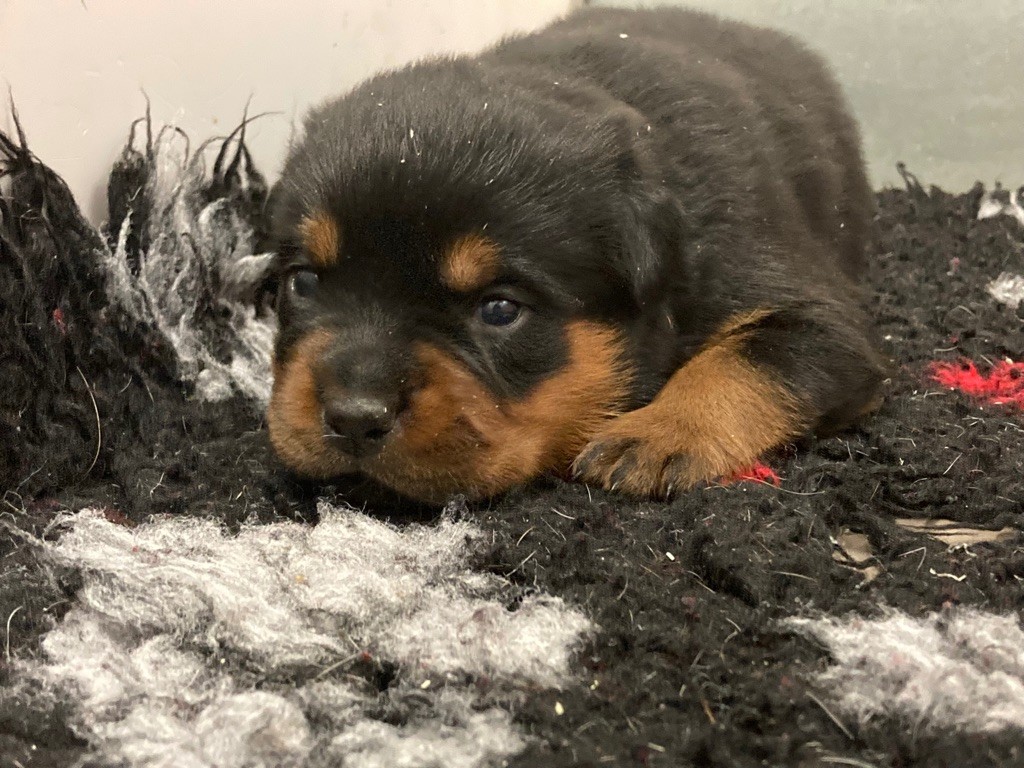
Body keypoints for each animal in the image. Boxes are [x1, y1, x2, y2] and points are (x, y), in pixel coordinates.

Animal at [268, 9, 884, 507]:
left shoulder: (806, 310)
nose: (353, 417)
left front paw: (656, 432)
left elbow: (749, 359)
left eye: (499, 310)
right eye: (303, 282)